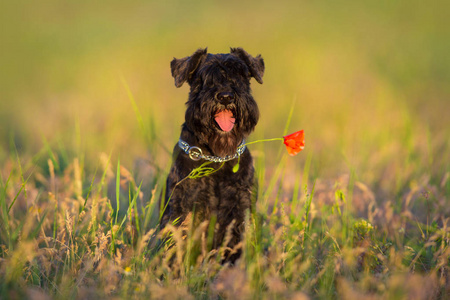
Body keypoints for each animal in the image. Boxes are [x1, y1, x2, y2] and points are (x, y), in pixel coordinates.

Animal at [160, 47, 264, 262]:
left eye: (240, 75)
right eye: (203, 78)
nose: (225, 96)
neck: (217, 157)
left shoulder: (242, 206)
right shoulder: (184, 206)